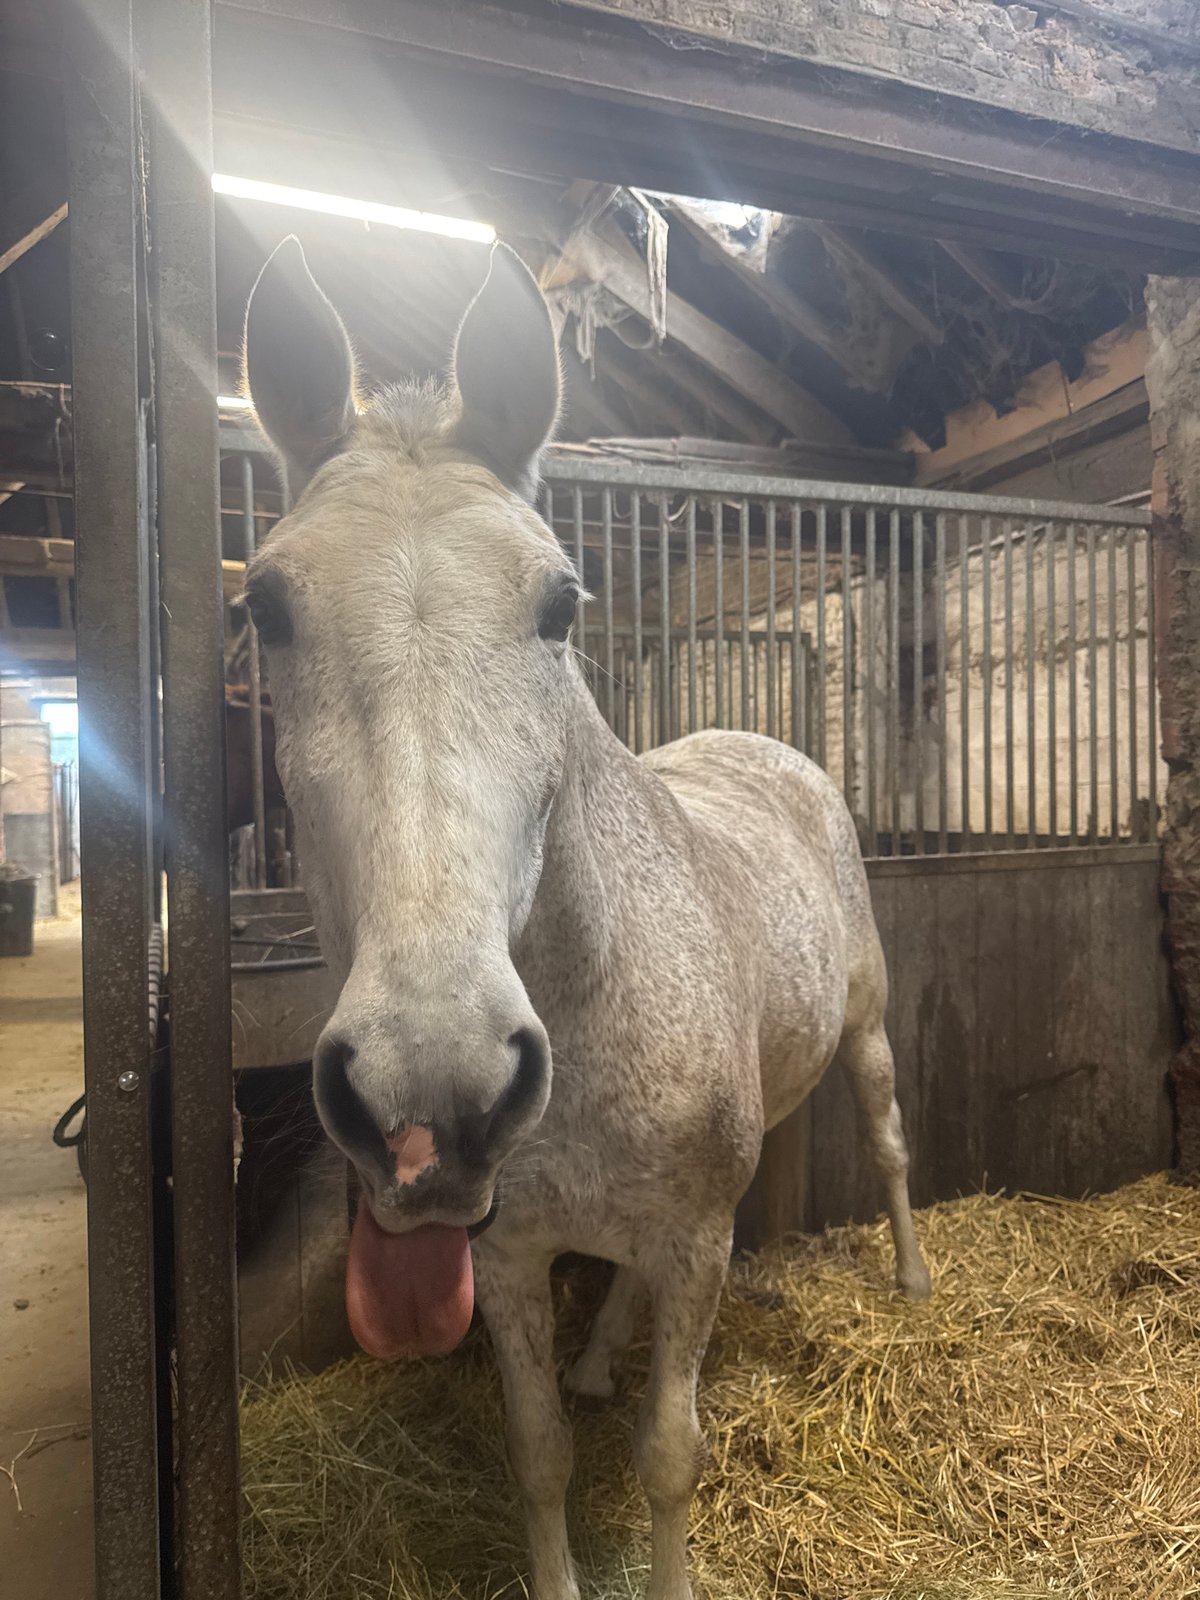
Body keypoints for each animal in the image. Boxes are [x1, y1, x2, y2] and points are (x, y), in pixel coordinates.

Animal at [240, 235, 931, 1600]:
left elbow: (670, 1455)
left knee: (885, 1140)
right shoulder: (507, 1257)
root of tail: (767, 746)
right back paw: (606, 1349)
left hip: (869, 1032)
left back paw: (915, 1275)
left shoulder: (699, 1236)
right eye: (267, 609)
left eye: (560, 604)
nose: (433, 1086)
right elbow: (541, 1453)